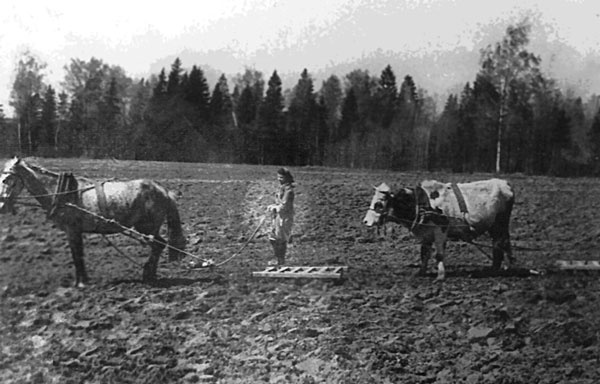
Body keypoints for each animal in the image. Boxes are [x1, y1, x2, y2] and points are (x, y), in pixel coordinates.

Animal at [0, 158, 186, 286]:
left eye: (7, 179)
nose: (2, 206)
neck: (62, 193)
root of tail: (163, 190)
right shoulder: (74, 231)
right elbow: (77, 254)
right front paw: (81, 280)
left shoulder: (73, 230)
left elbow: (77, 255)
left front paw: (81, 283)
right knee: (159, 245)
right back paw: (150, 274)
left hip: (147, 227)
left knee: (158, 245)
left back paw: (148, 274)